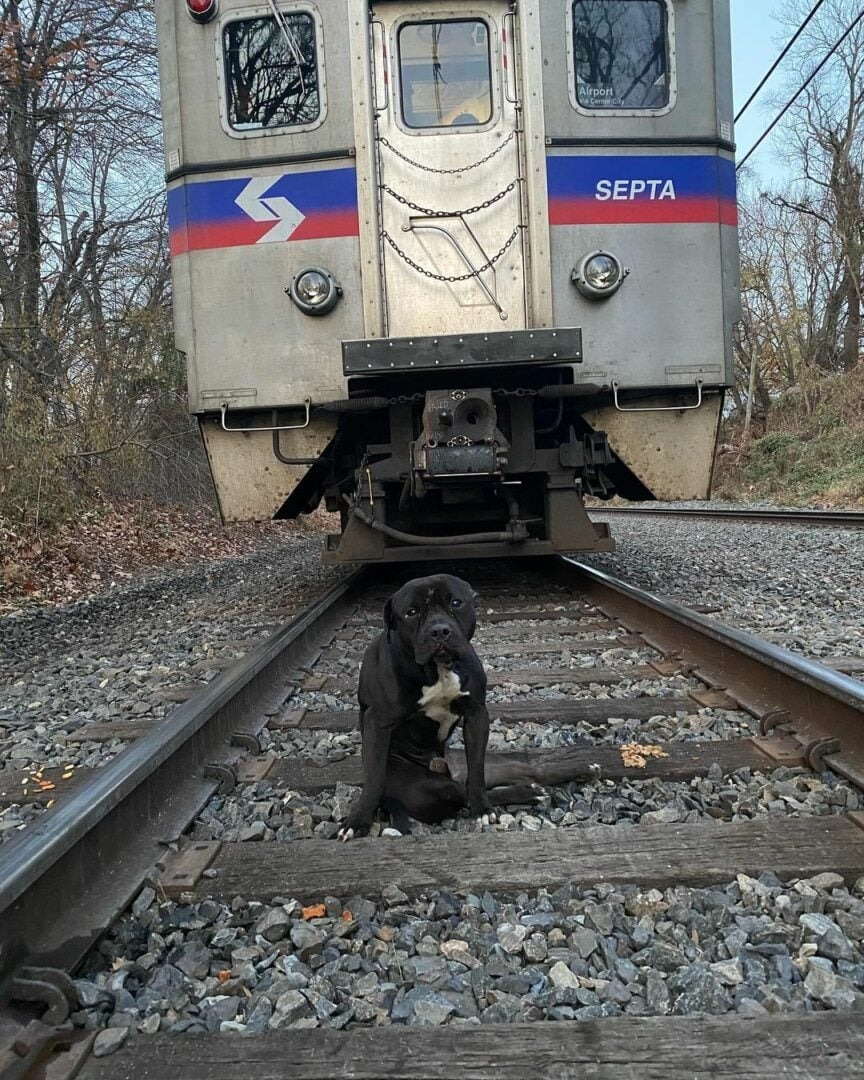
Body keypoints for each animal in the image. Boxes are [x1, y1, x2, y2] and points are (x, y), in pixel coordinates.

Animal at [339, 570, 535, 838]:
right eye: (411, 612)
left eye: (456, 602)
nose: (439, 631)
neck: (439, 669)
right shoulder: (377, 722)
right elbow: (374, 777)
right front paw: (358, 821)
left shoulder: (476, 714)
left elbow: (477, 770)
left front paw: (483, 809)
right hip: (426, 789)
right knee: (455, 792)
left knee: (465, 786)